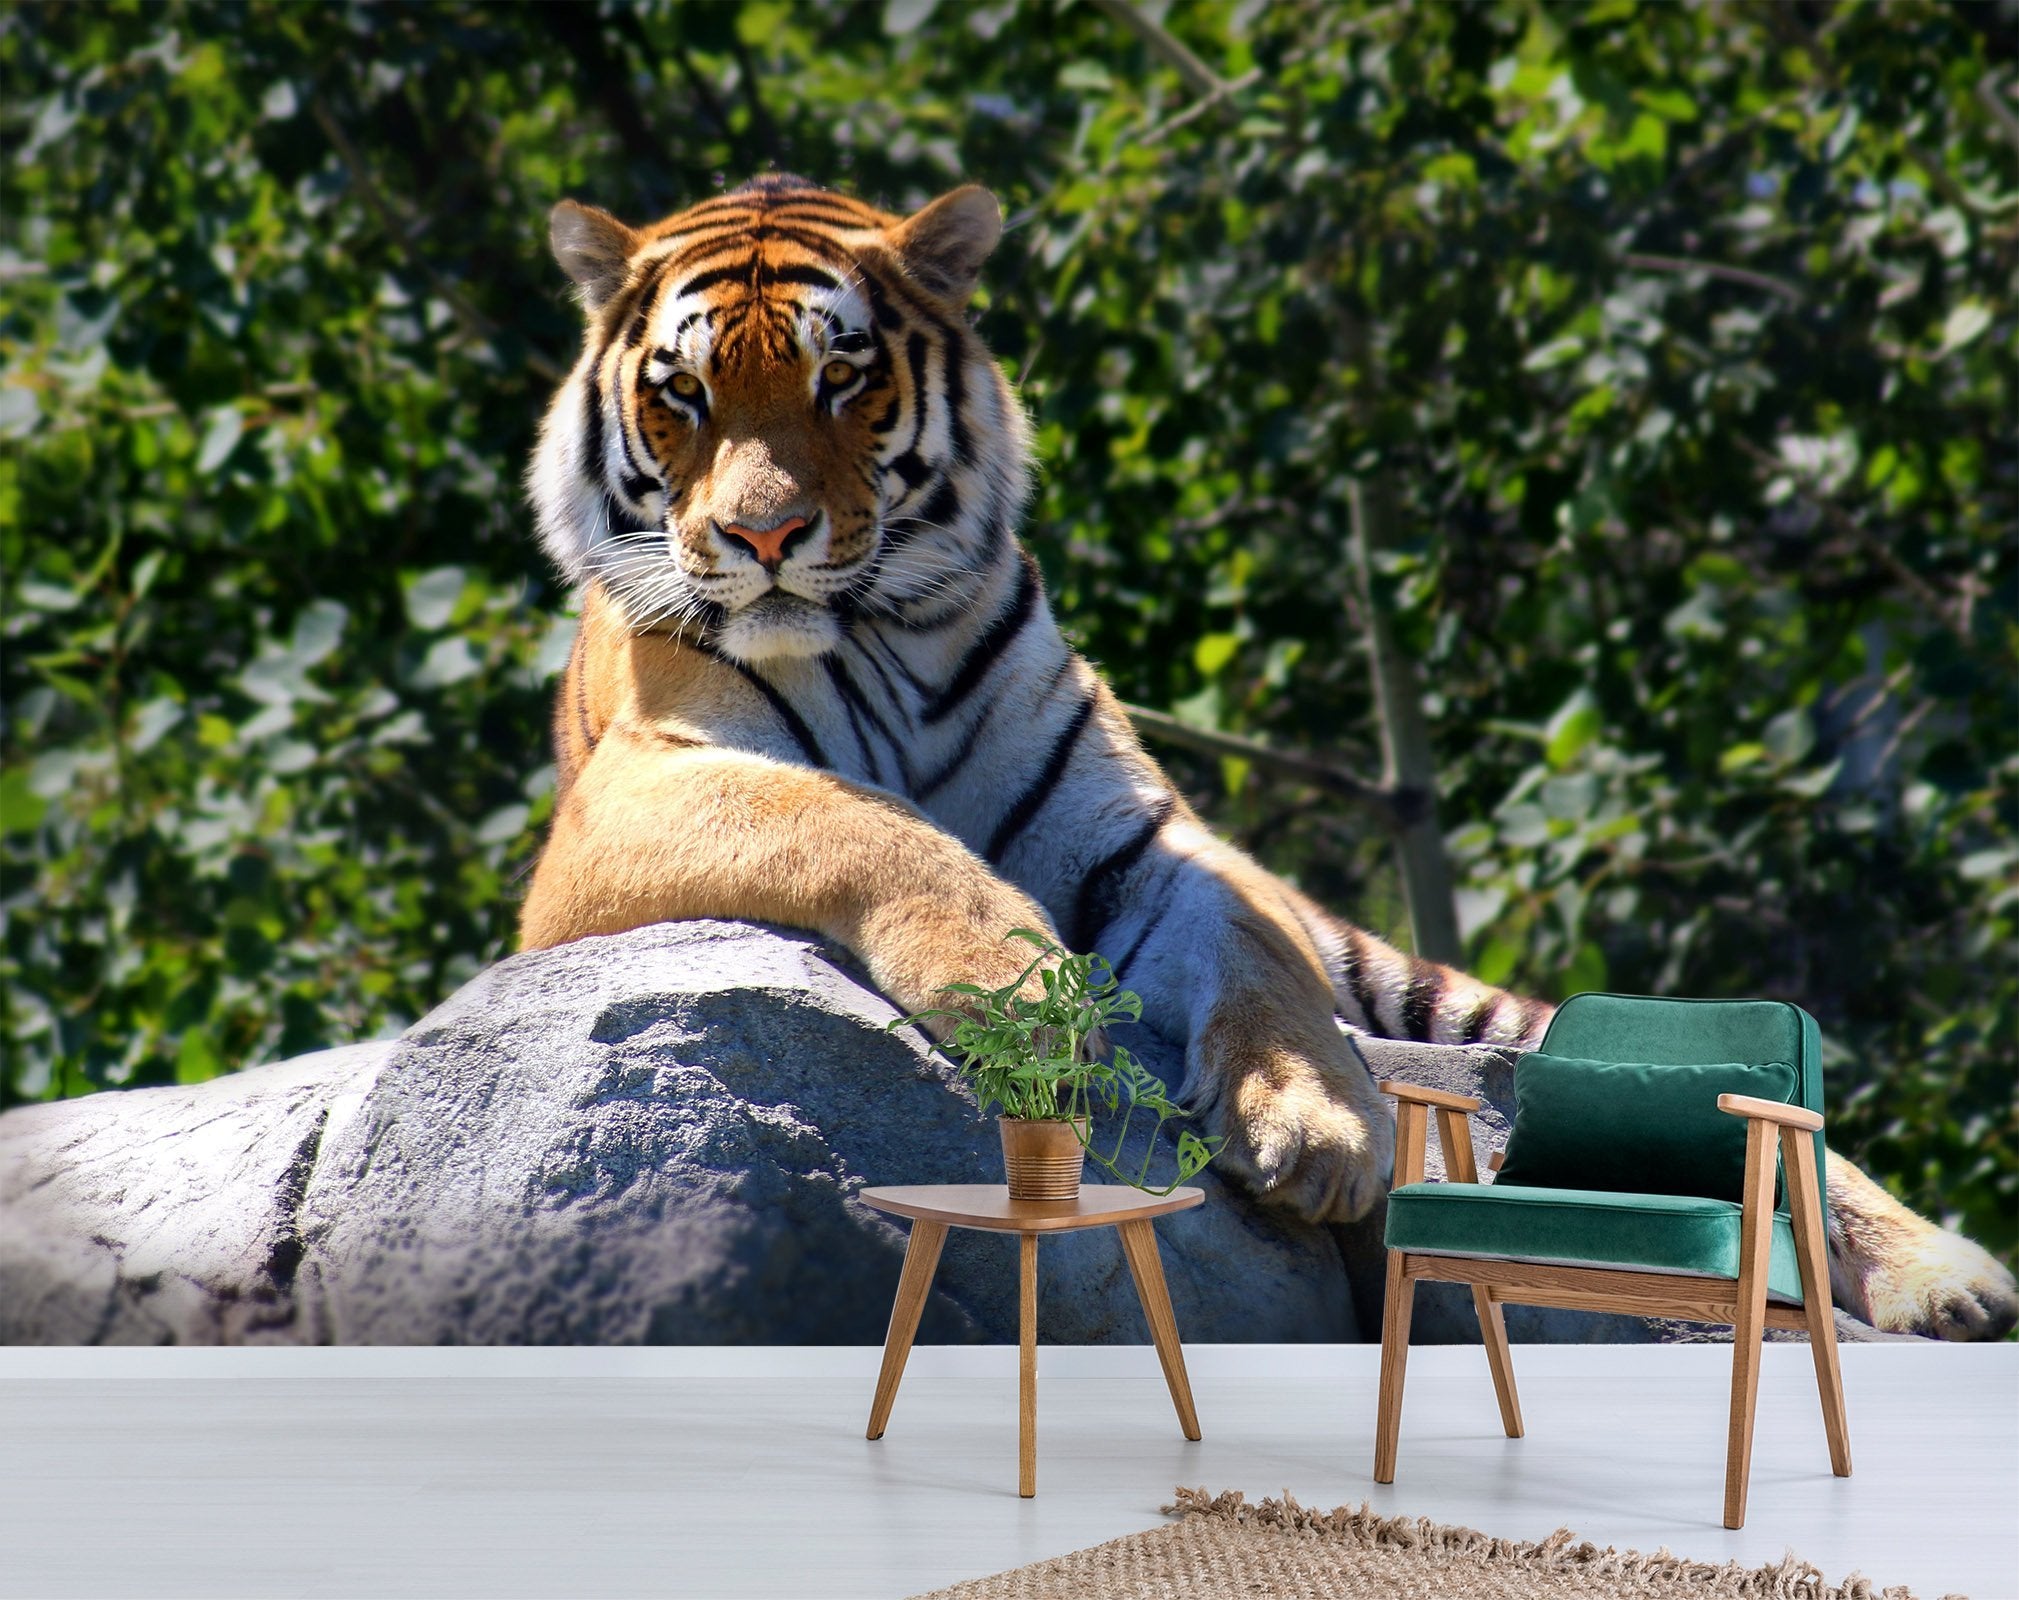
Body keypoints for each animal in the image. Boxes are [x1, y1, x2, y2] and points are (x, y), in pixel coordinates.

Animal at [518, 174, 2016, 1338]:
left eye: (841, 379)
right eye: (684, 395)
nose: (763, 536)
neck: (879, 630)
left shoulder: (1144, 836)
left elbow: (1252, 949)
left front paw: (1321, 1130)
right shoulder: (627, 801)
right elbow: (852, 819)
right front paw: (1017, 986)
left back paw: (1951, 1283)